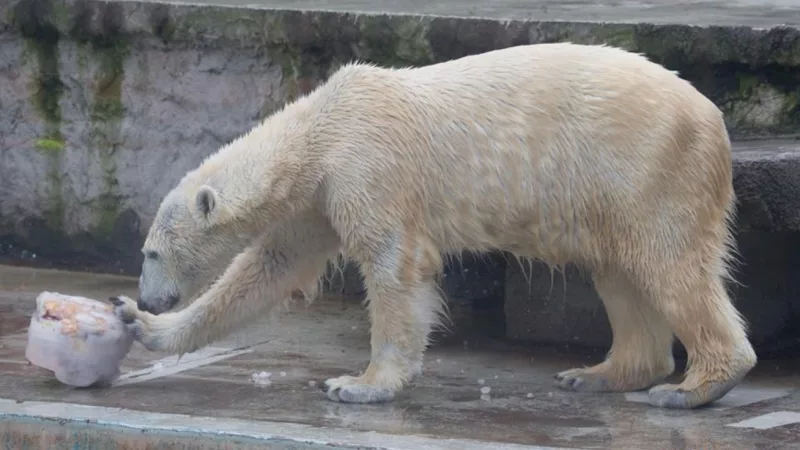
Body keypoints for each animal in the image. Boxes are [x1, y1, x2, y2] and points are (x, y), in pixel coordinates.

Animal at [110, 42, 757, 409]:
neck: (322, 126)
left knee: (668, 264)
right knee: (621, 272)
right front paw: (142, 326)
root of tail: (711, 116)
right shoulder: (318, 198)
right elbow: (270, 268)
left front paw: (361, 384)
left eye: (150, 254)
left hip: (646, 166)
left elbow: (395, 264)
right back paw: (597, 375)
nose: (150, 295)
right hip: (610, 192)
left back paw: (690, 389)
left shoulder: (367, 167)